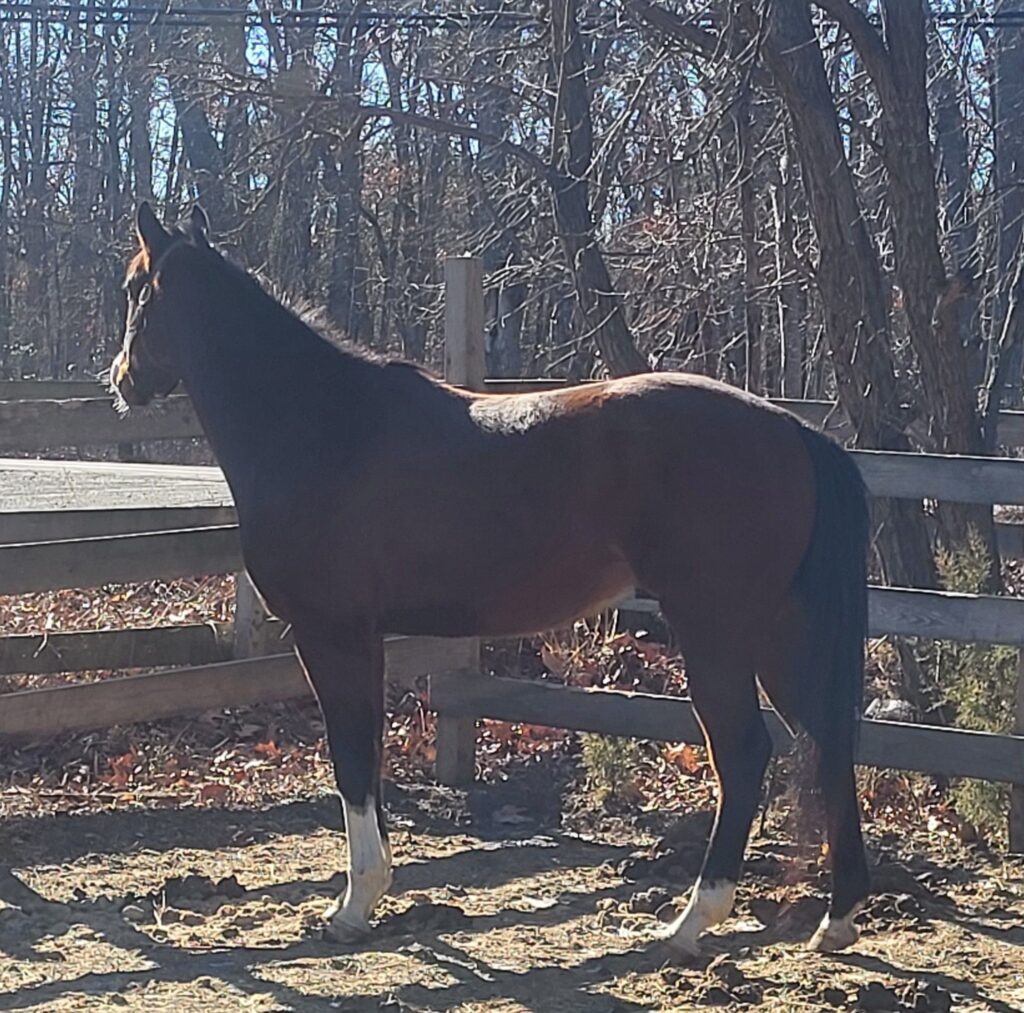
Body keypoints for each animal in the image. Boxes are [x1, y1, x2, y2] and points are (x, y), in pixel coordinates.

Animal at [108, 203, 868, 954]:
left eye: (134, 288)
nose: (120, 379)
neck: (323, 425)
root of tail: (793, 432)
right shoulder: (364, 638)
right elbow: (369, 755)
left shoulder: (330, 634)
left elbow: (350, 757)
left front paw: (353, 904)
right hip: (775, 635)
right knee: (827, 739)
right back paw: (835, 919)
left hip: (714, 632)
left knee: (743, 752)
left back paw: (689, 920)